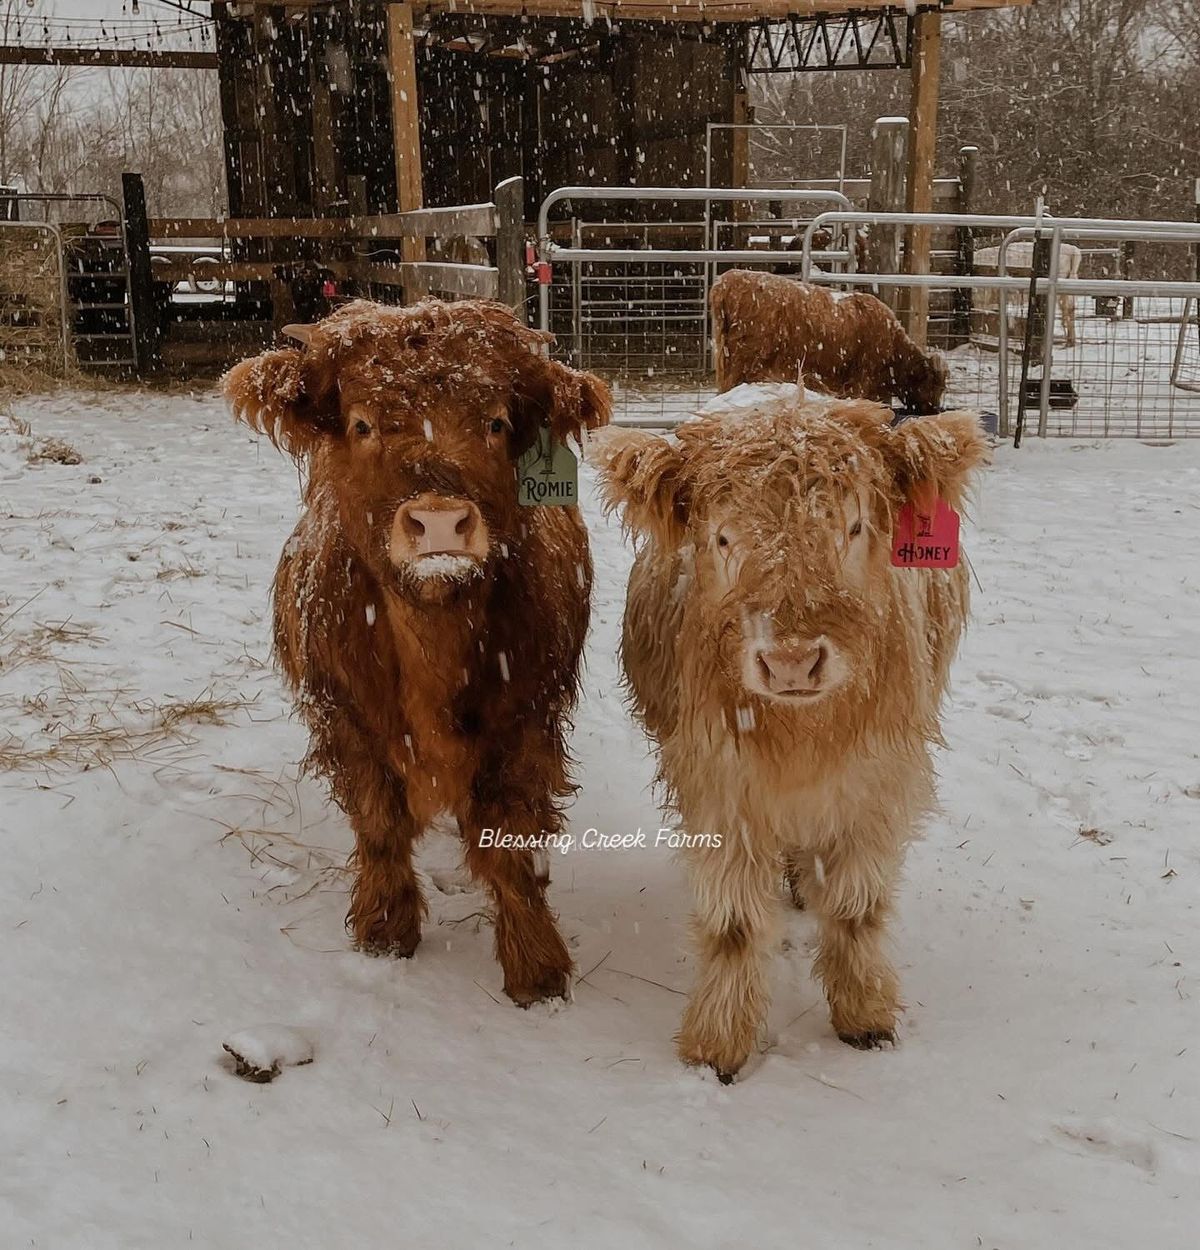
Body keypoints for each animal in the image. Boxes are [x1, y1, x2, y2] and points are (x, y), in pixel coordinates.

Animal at [225, 297, 610, 1000]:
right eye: (361, 423)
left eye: (495, 421)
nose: (437, 522)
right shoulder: (346, 719)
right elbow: (380, 826)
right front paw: (384, 928)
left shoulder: (525, 723)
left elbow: (509, 842)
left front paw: (535, 967)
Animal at [595, 395, 990, 1080]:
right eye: (723, 537)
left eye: (855, 527)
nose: (791, 662)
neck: (801, 738)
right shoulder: (720, 788)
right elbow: (733, 924)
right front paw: (718, 1043)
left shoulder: (881, 782)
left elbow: (858, 907)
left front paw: (864, 1014)